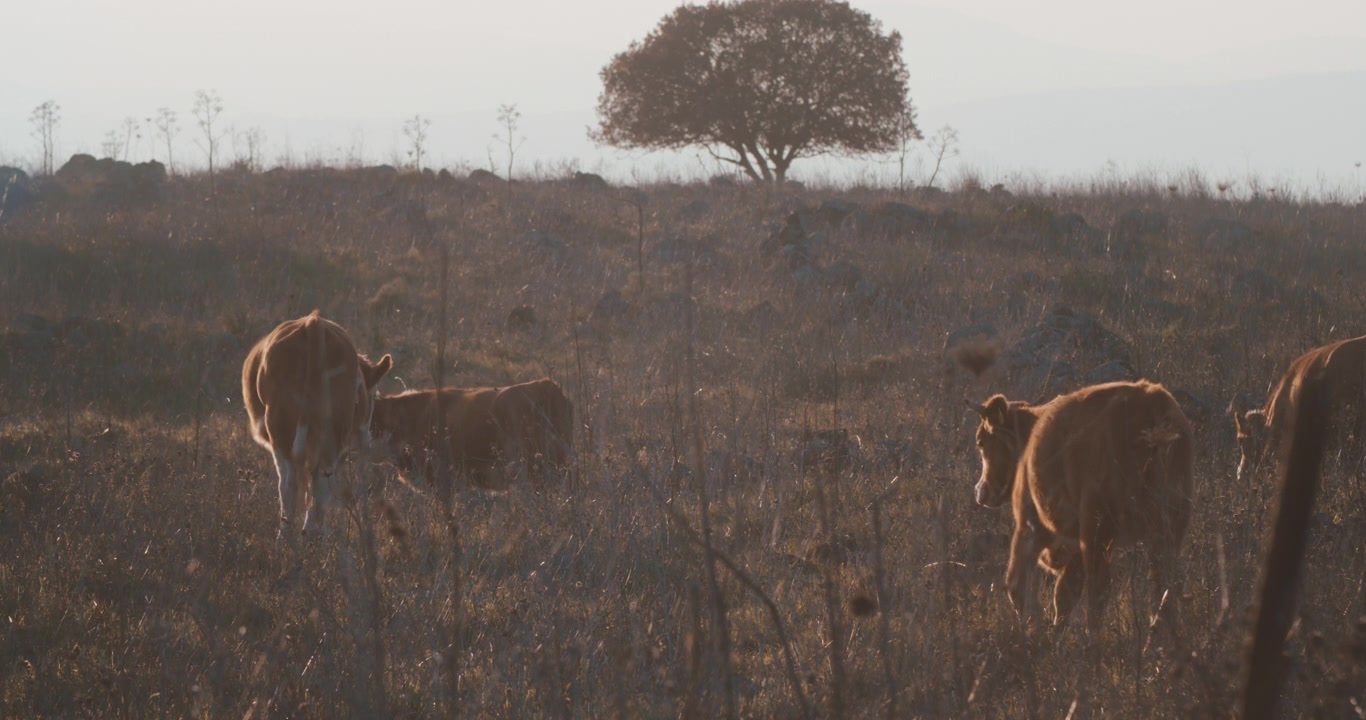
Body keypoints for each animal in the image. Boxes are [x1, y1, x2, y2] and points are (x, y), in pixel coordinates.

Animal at [242, 311, 393, 536]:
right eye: (373, 395)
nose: (367, 437)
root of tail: (313, 324)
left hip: (281, 428)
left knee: (291, 482)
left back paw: (295, 533)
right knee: (317, 479)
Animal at [970, 380, 1193, 641]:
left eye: (981, 442)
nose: (980, 491)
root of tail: (1150, 401)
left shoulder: (1029, 525)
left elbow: (1017, 585)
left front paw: (1035, 631)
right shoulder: (1074, 546)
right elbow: (1065, 593)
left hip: (1098, 527)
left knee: (1100, 588)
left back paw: (1093, 642)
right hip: (1168, 528)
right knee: (1164, 587)